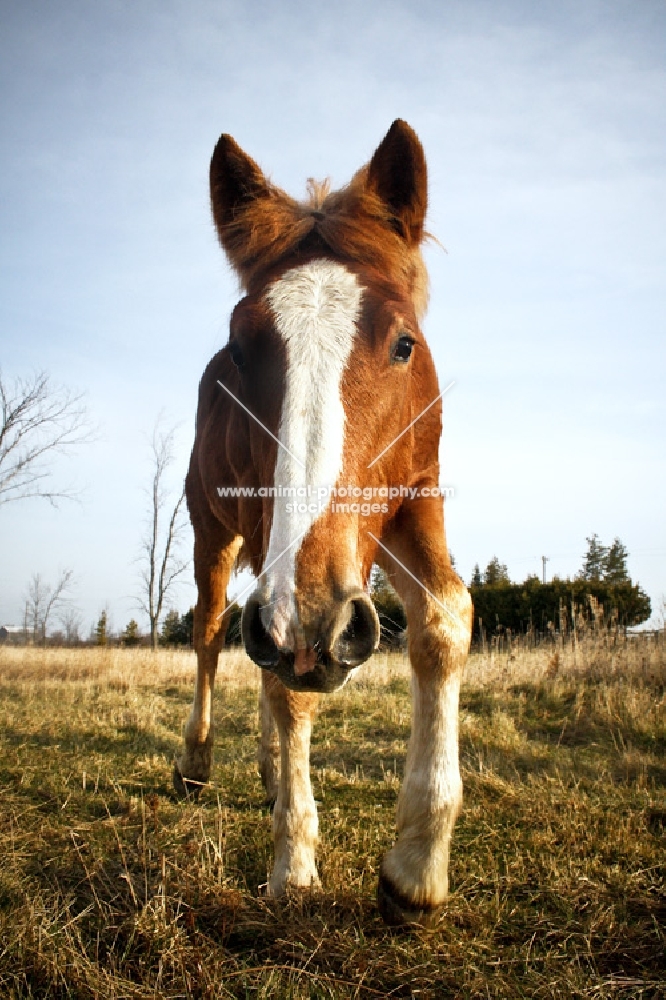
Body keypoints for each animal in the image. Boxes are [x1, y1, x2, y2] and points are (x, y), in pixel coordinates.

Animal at [174, 121, 470, 924]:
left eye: (403, 342)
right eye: (239, 346)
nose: (314, 628)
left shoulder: (410, 503)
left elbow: (445, 619)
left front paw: (416, 866)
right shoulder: (279, 573)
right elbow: (284, 683)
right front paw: (295, 864)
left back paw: (271, 769)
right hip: (213, 533)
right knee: (213, 632)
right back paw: (198, 760)